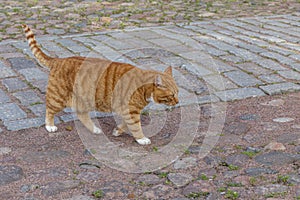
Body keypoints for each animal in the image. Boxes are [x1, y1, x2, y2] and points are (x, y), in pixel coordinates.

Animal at [22, 24, 178, 145]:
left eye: (178, 93)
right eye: (171, 95)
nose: (177, 102)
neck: (143, 88)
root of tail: (59, 60)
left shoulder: (127, 111)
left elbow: (125, 124)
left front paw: (117, 131)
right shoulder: (131, 111)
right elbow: (135, 127)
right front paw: (141, 139)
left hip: (84, 99)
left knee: (81, 114)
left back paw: (94, 129)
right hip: (58, 98)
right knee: (49, 110)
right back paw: (50, 126)